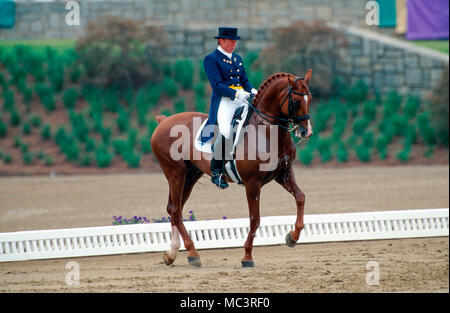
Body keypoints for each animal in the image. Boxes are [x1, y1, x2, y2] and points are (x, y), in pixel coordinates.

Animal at [151, 70, 312, 266]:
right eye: (296, 101)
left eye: (310, 98)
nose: (306, 132)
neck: (267, 132)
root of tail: (164, 121)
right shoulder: (252, 183)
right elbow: (255, 219)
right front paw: (247, 256)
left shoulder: (284, 175)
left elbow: (300, 198)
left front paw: (292, 236)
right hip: (176, 173)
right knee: (175, 211)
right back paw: (193, 253)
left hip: (190, 176)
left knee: (175, 208)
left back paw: (172, 254)